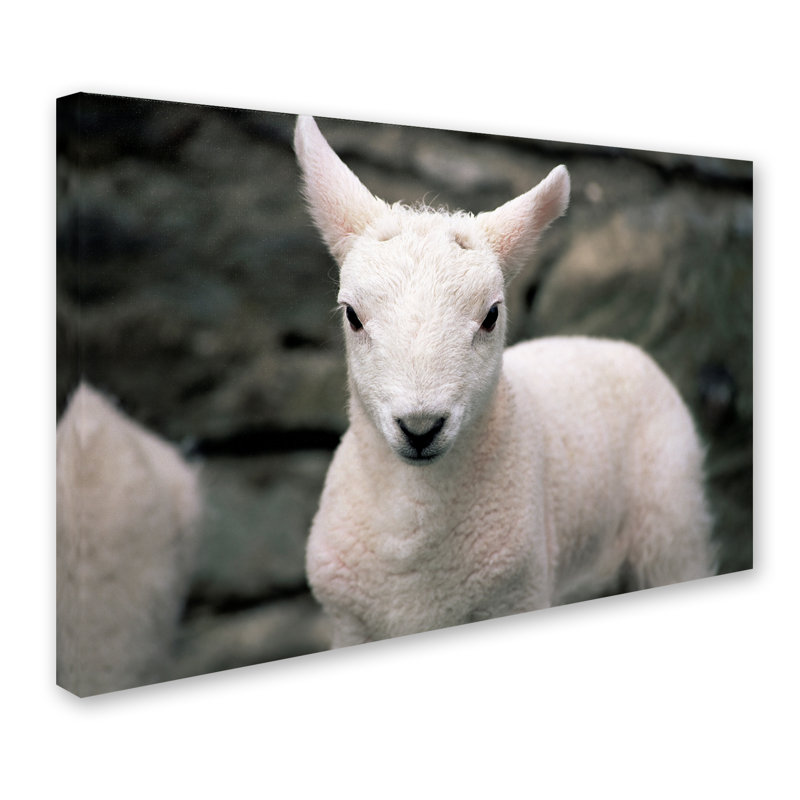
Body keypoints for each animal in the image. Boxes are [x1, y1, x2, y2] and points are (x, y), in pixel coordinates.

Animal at [295, 115, 716, 648]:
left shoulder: (516, 594)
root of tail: (613, 344)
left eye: (491, 315)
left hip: (671, 523)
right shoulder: (349, 625)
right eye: (352, 315)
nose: (420, 427)